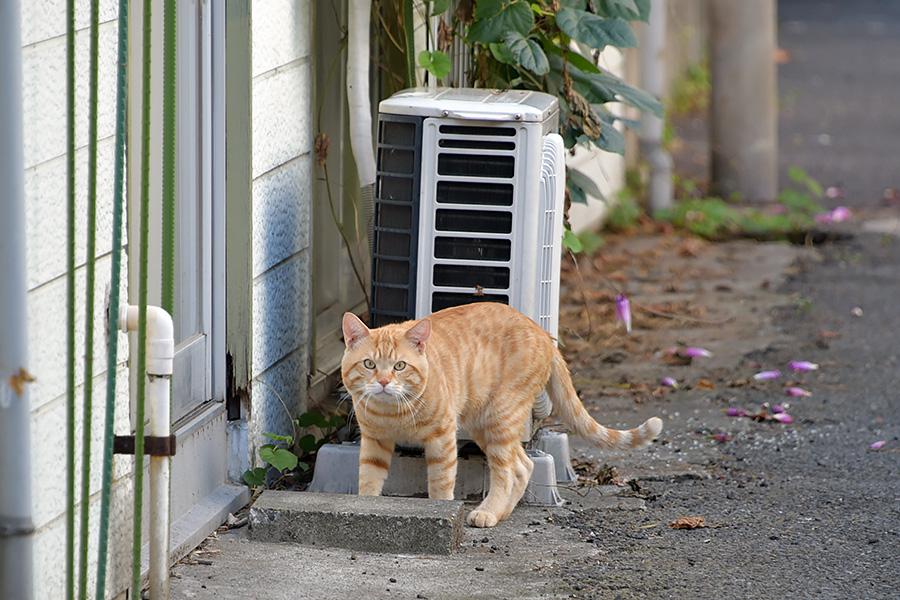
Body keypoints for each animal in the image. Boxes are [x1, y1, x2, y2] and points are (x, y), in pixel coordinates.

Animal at [340, 302, 660, 528]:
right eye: (369, 364)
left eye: (400, 366)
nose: (383, 382)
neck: (393, 412)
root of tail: (544, 333)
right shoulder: (374, 442)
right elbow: (368, 481)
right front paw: (364, 509)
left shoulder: (442, 440)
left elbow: (441, 485)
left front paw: (439, 512)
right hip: (485, 425)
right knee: (522, 466)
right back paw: (501, 512)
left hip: (500, 418)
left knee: (506, 472)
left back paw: (488, 512)